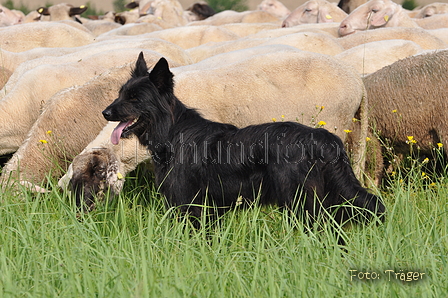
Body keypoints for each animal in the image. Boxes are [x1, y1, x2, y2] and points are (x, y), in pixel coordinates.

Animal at [102, 53, 384, 230]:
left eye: (135, 98)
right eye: (120, 94)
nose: (105, 113)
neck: (172, 133)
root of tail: (323, 138)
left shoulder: (190, 206)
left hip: (302, 203)